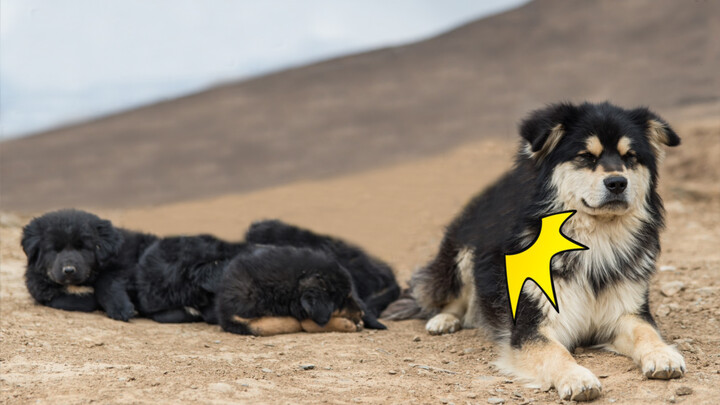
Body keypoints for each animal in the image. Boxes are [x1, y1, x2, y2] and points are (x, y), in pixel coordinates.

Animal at [21, 210, 158, 320]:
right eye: (55, 249)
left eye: (82, 248)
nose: (69, 270)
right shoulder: (40, 289)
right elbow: (64, 300)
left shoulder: (123, 267)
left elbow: (107, 282)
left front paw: (120, 308)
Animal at [386, 102, 684, 400]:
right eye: (586, 156)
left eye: (630, 156)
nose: (618, 183)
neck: (594, 239)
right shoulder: (532, 325)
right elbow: (556, 353)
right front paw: (577, 377)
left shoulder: (626, 312)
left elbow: (646, 332)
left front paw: (663, 355)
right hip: (461, 255)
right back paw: (444, 320)